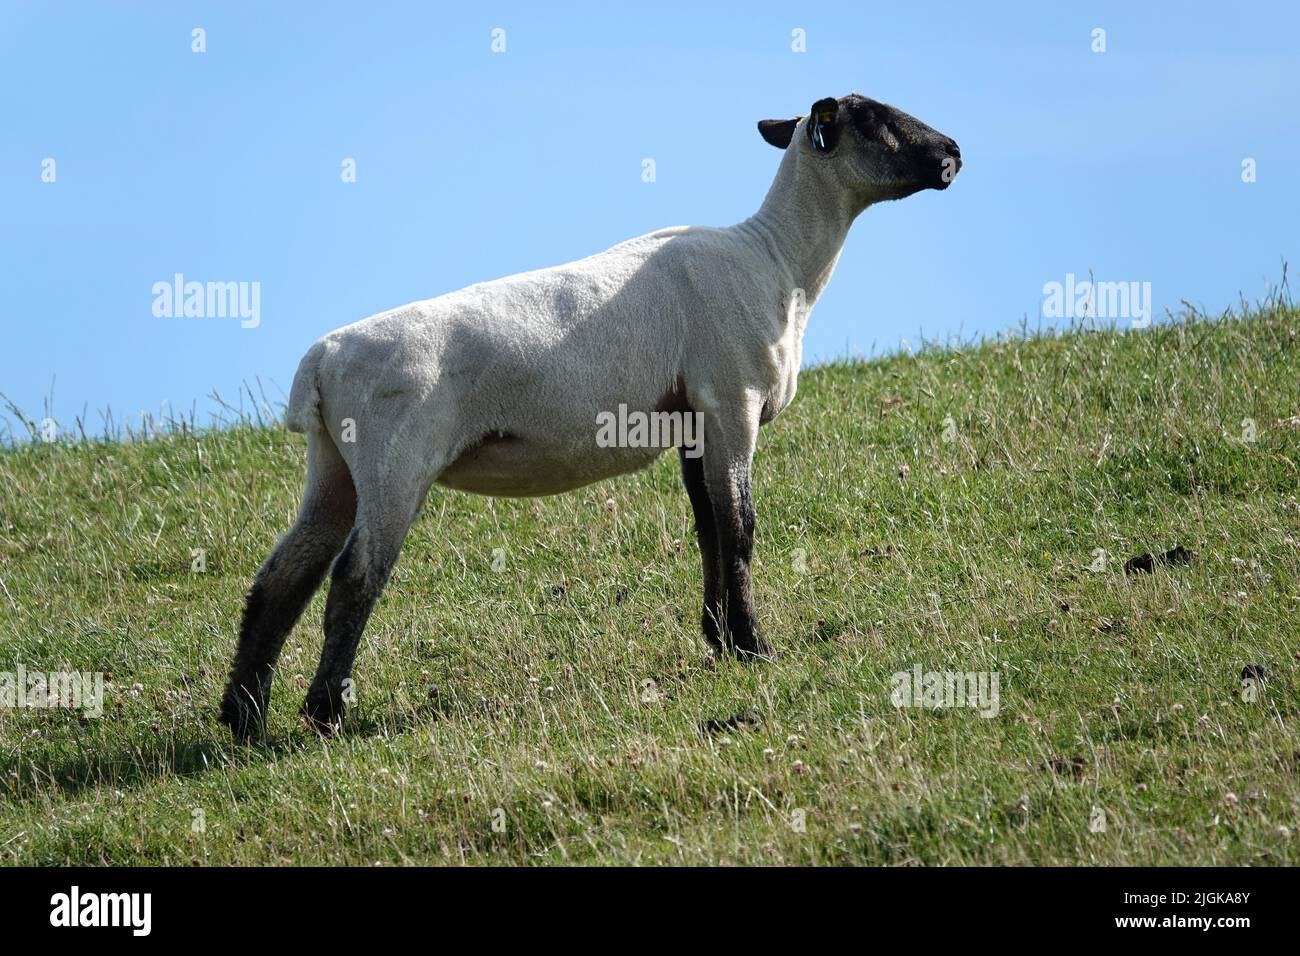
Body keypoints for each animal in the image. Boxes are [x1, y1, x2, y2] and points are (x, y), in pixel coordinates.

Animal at [220, 93, 956, 738]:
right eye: (875, 118)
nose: (954, 153)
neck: (777, 260)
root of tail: (321, 360)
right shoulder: (732, 401)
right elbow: (740, 528)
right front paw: (754, 648)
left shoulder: (693, 420)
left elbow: (708, 529)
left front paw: (720, 641)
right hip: (394, 461)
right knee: (353, 578)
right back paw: (324, 714)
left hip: (334, 466)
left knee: (282, 577)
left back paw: (242, 718)